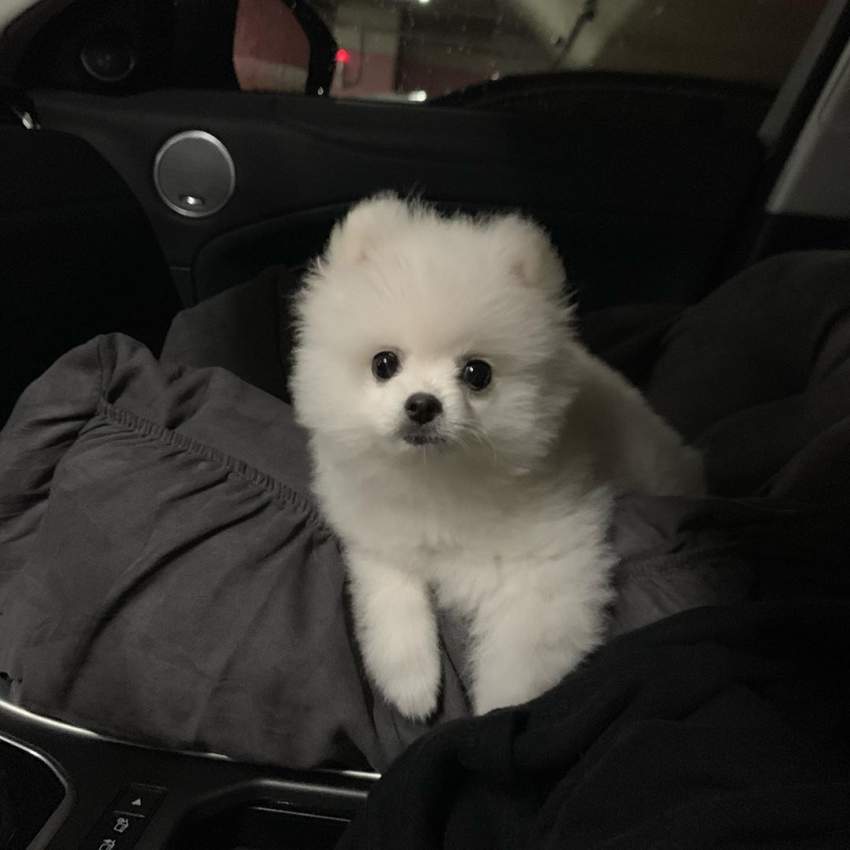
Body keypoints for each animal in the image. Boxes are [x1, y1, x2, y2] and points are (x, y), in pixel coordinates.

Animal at [290, 194, 703, 718]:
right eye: (384, 363)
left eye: (477, 373)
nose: (422, 404)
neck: (439, 479)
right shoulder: (377, 538)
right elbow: (391, 597)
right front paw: (411, 684)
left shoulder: (552, 565)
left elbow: (519, 661)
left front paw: (495, 716)